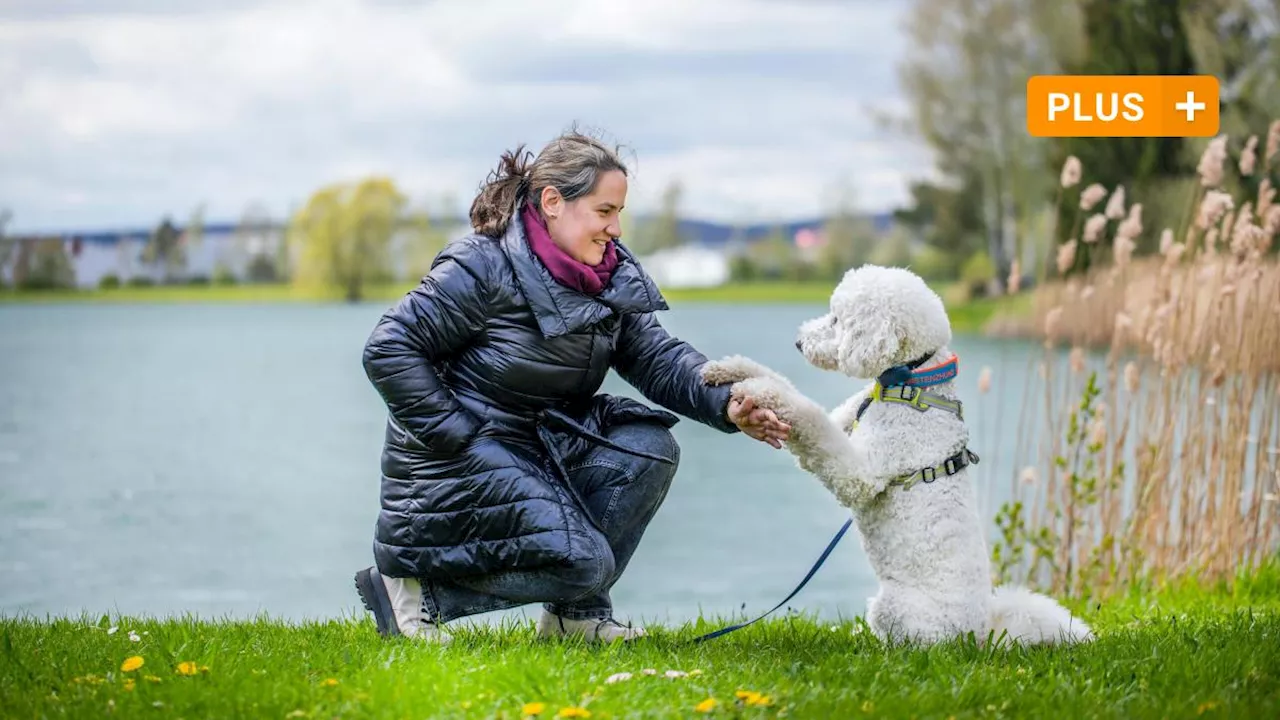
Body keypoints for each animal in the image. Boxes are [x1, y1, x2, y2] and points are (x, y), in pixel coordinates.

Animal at [706, 263, 1095, 645]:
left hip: (897, 606)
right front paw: (732, 369)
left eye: (838, 319)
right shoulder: (848, 418)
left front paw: (760, 391)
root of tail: (984, 631)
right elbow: (793, 392)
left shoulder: (859, 472)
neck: (911, 382)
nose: (799, 342)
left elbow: (809, 416)